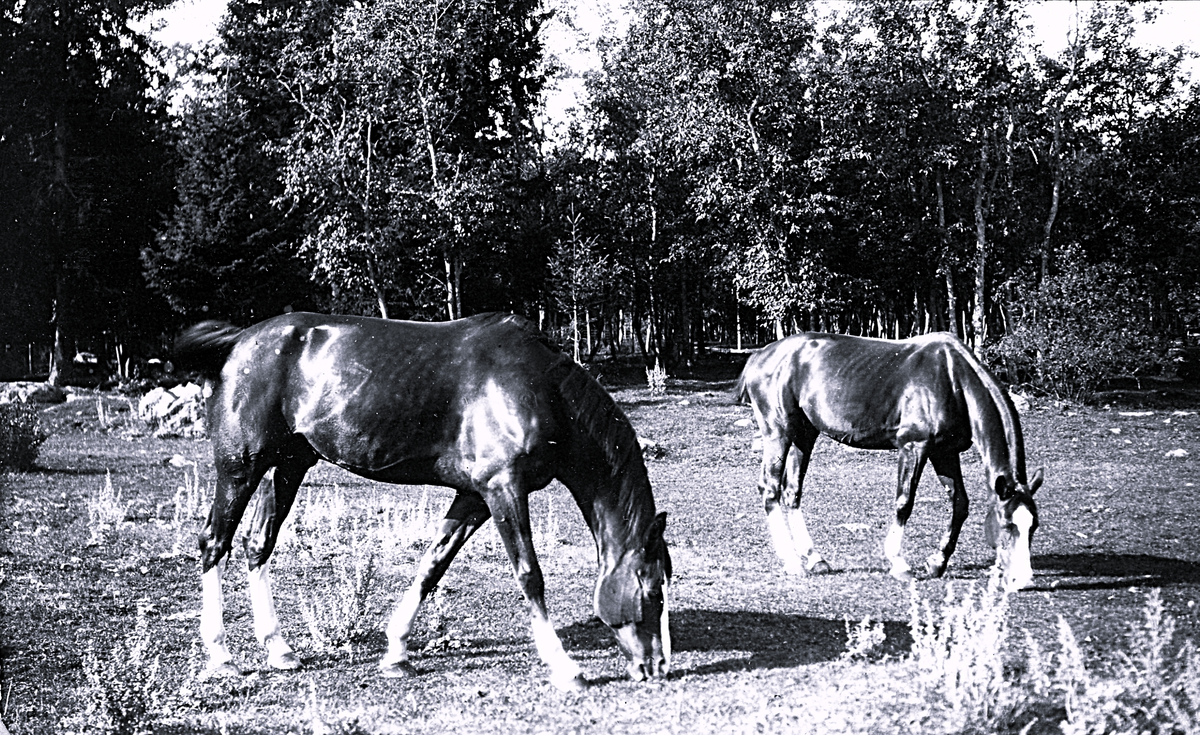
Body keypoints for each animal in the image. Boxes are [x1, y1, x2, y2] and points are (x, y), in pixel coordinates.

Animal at [174, 311, 671, 692]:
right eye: (651, 590)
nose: (657, 667)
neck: (539, 388)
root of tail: (240, 341)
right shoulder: (503, 489)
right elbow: (530, 575)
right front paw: (565, 667)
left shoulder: (474, 496)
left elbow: (433, 565)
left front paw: (396, 652)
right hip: (240, 468)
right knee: (214, 542)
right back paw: (221, 655)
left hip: (289, 466)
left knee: (258, 544)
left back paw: (279, 649)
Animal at [735, 331, 1042, 590]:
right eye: (1007, 525)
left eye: (1033, 526)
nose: (1023, 580)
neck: (952, 379)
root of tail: (760, 355)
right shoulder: (914, 447)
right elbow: (904, 501)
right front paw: (899, 564)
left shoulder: (944, 452)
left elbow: (960, 504)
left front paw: (936, 562)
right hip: (779, 432)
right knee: (770, 488)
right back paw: (792, 562)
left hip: (804, 435)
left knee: (792, 492)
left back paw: (814, 558)